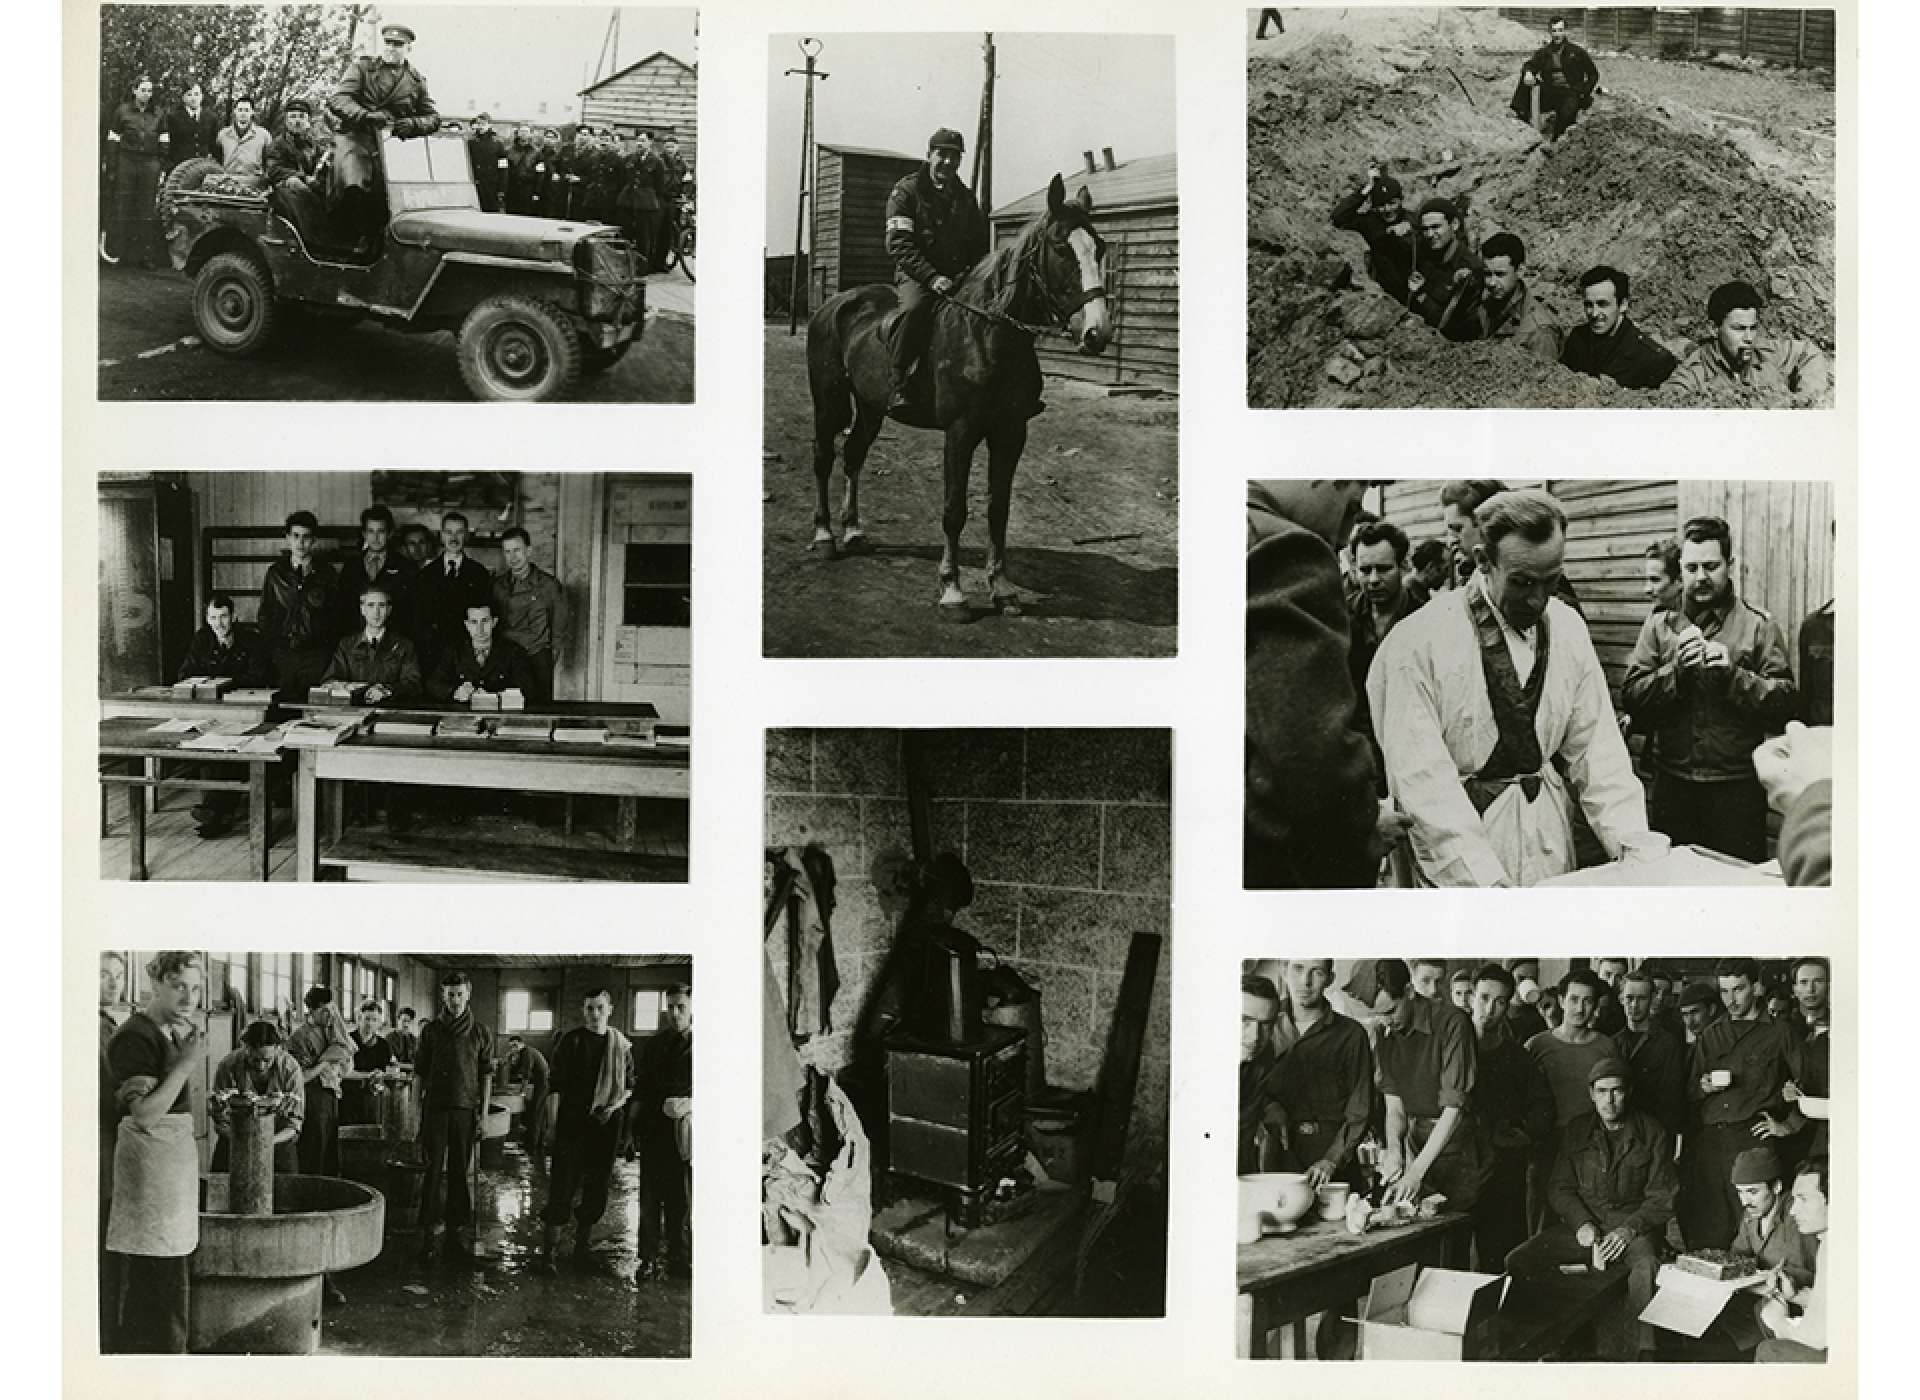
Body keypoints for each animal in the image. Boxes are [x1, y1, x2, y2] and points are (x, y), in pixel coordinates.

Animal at [806, 173, 1113, 610]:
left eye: (1099, 248)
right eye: (1060, 247)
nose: (1096, 333)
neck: (988, 335)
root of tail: (833, 304)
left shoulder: (1010, 433)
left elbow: (999, 509)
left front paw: (1001, 587)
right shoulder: (960, 432)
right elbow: (954, 509)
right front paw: (952, 589)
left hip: (870, 407)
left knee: (853, 455)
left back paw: (853, 532)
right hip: (828, 399)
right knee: (823, 456)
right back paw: (825, 536)